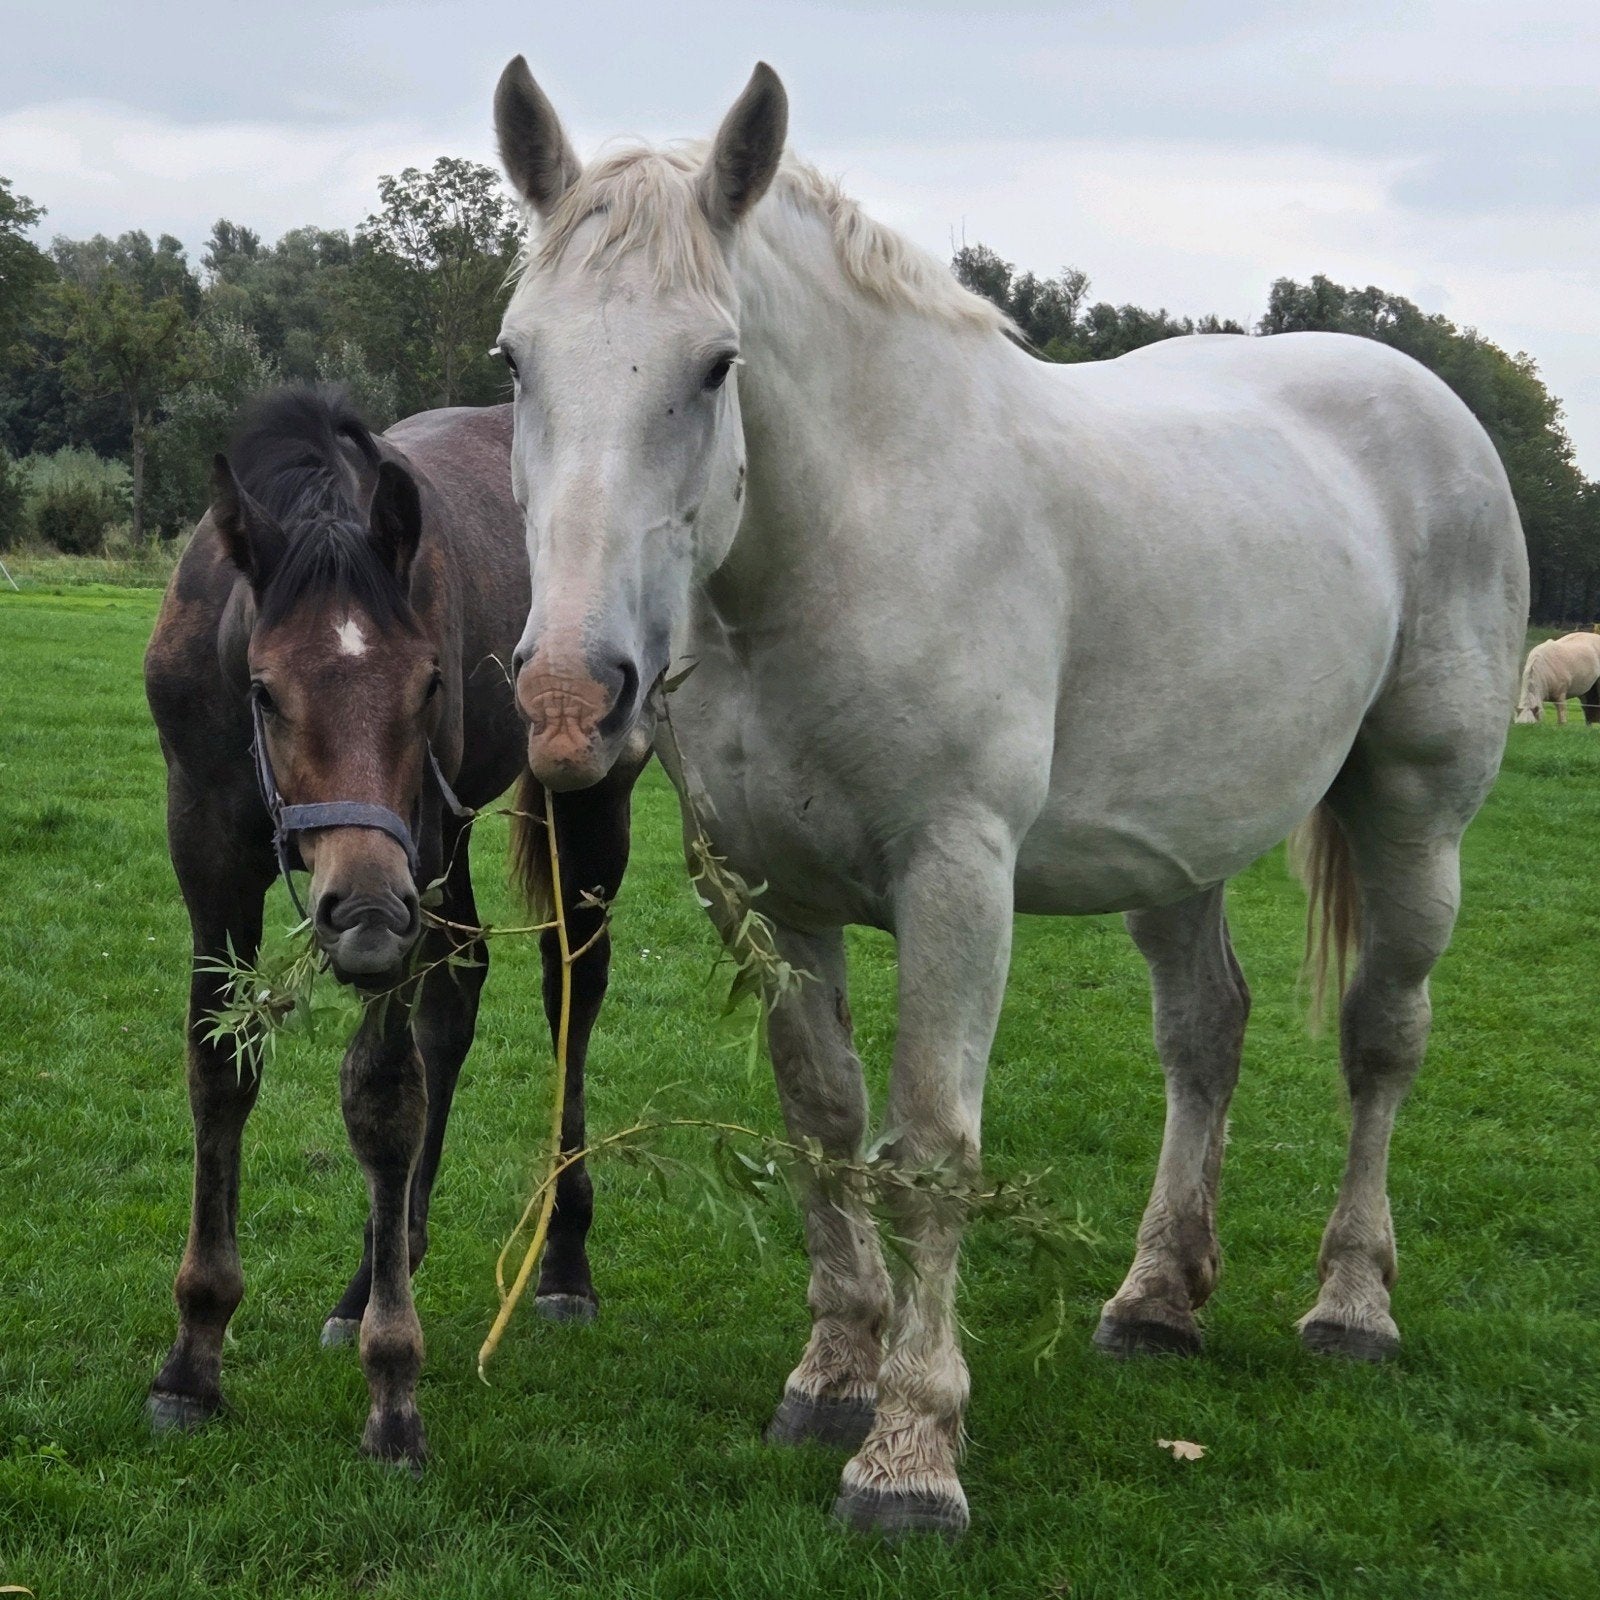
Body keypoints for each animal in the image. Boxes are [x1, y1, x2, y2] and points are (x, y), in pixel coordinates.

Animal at [142, 387, 644, 1471]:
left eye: (427, 685)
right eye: (262, 689)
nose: (364, 915)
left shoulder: (413, 850)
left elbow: (378, 1097)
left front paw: (393, 1389)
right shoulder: (208, 856)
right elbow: (220, 1072)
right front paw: (194, 1354)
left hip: (575, 801)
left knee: (569, 991)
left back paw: (562, 1262)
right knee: (457, 997)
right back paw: (379, 1262)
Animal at [489, 60, 1528, 1536]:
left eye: (716, 364)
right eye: (517, 359)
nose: (574, 698)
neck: (853, 534)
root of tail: (1430, 400)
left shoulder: (956, 878)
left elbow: (929, 1146)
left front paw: (911, 1455)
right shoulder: (766, 893)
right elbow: (823, 1126)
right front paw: (831, 1378)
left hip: (1416, 815)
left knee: (1381, 1039)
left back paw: (1351, 1306)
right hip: (1179, 853)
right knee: (1205, 1034)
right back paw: (1156, 1303)